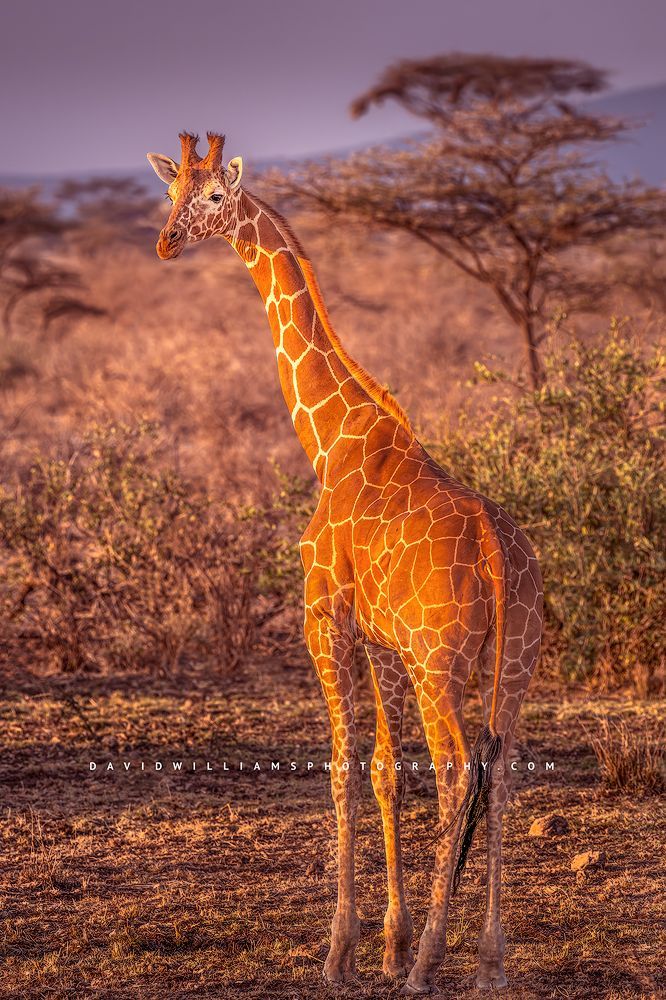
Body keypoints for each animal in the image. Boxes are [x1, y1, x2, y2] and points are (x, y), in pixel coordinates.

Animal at [147, 132, 543, 995]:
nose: (166, 243)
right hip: (514, 663)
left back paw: (434, 961)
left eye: (216, 198)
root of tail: (499, 555)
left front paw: (343, 951)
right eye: (171, 192)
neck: (329, 438)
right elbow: (388, 770)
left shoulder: (324, 622)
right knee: (504, 770)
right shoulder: (382, 641)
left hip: (440, 662)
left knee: (461, 771)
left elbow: (342, 768)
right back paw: (490, 958)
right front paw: (390, 940)